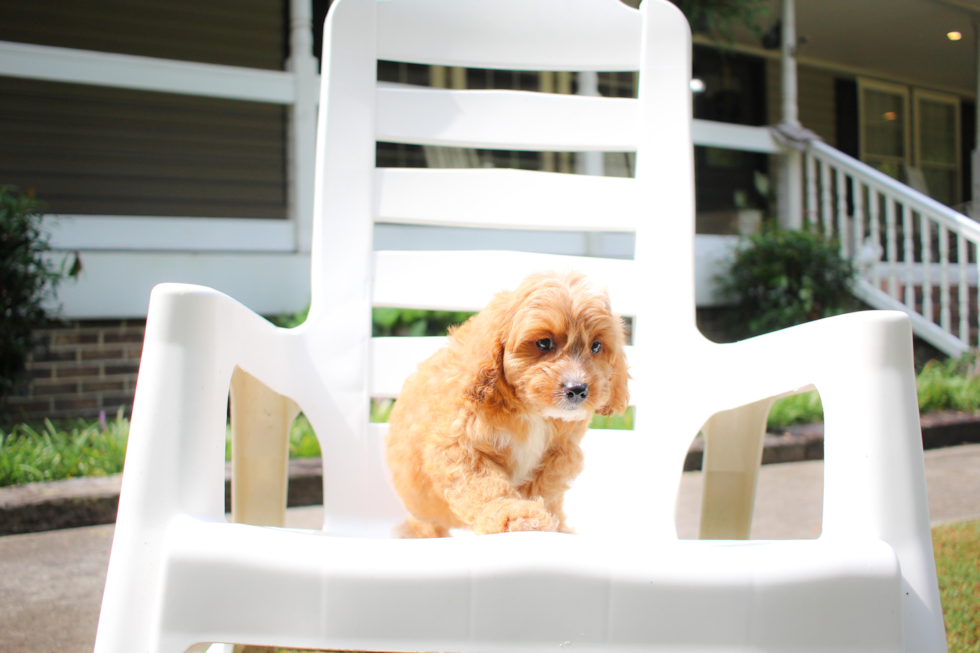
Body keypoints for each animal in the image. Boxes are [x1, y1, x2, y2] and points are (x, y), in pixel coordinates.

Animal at [382, 270, 628, 536]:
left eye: (596, 346)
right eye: (544, 343)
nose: (577, 389)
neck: (531, 411)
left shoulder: (560, 454)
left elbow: (544, 488)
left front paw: (543, 519)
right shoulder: (460, 446)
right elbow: (485, 486)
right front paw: (515, 515)